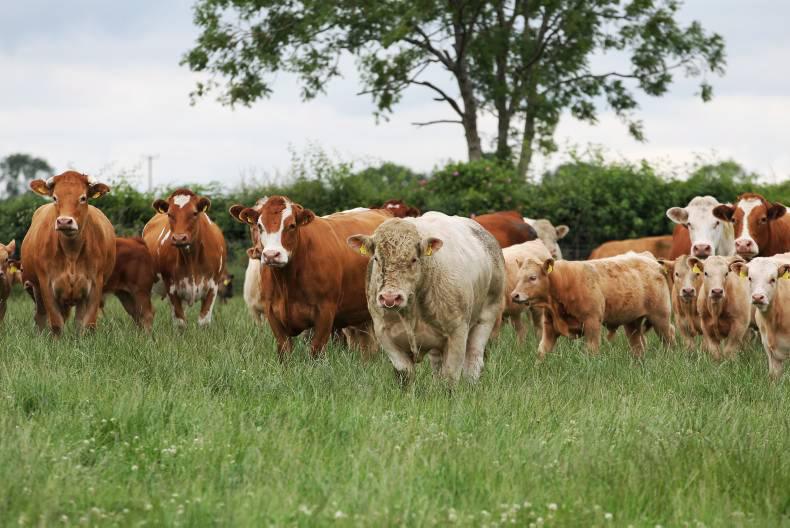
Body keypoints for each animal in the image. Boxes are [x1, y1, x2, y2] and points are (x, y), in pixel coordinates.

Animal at [21, 171, 116, 335]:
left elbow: (88, 324)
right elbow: (56, 323)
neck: (71, 254)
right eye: (55, 198)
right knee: (40, 316)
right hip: (36, 288)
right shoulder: (46, 285)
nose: (64, 221)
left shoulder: (95, 285)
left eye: (83, 198)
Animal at [143, 189, 227, 327]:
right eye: (170, 214)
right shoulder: (172, 287)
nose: (179, 238)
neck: (191, 257)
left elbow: (203, 321)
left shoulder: (213, 286)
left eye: (194, 213)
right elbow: (180, 322)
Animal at [230, 195, 392, 357]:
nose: (271, 255)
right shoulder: (271, 314)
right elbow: (284, 351)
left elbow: (316, 351)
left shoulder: (325, 312)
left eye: (292, 225)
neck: (286, 283)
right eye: (259, 225)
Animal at [348, 213, 505, 384]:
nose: (390, 298)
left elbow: (450, 377)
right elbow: (405, 374)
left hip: (486, 316)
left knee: (474, 359)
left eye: (414, 259)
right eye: (376, 258)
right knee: (437, 363)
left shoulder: (457, 333)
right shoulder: (385, 335)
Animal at [511, 254, 674, 359]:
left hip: (660, 316)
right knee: (637, 345)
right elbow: (542, 351)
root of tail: (654, 263)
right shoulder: (549, 327)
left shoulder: (592, 323)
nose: (514, 295)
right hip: (632, 322)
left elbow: (591, 350)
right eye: (518, 278)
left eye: (533, 277)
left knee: (669, 336)